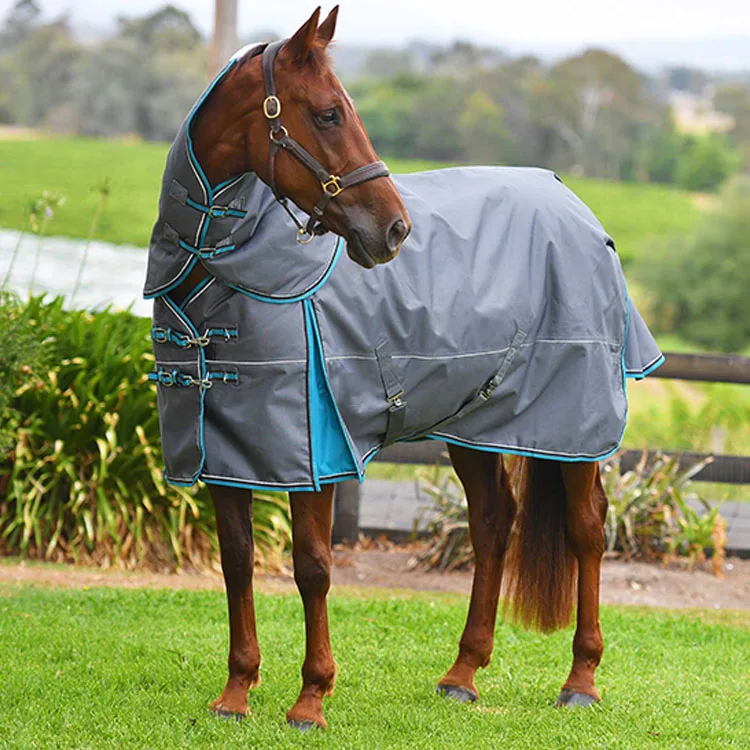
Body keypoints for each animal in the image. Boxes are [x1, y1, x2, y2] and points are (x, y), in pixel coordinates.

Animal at [150, 5, 660, 736]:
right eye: (329, 113)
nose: (395, 230)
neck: (222, 274)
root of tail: (574, 204)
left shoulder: (316, 453)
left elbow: (312, 567)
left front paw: (310, 700)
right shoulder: (228, 452)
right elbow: (237, 562)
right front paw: (236, 693)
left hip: (573, 425)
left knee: (587, 527)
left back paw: (581, 680)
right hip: (475, 425)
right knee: (492, 523)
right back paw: (463, 675)